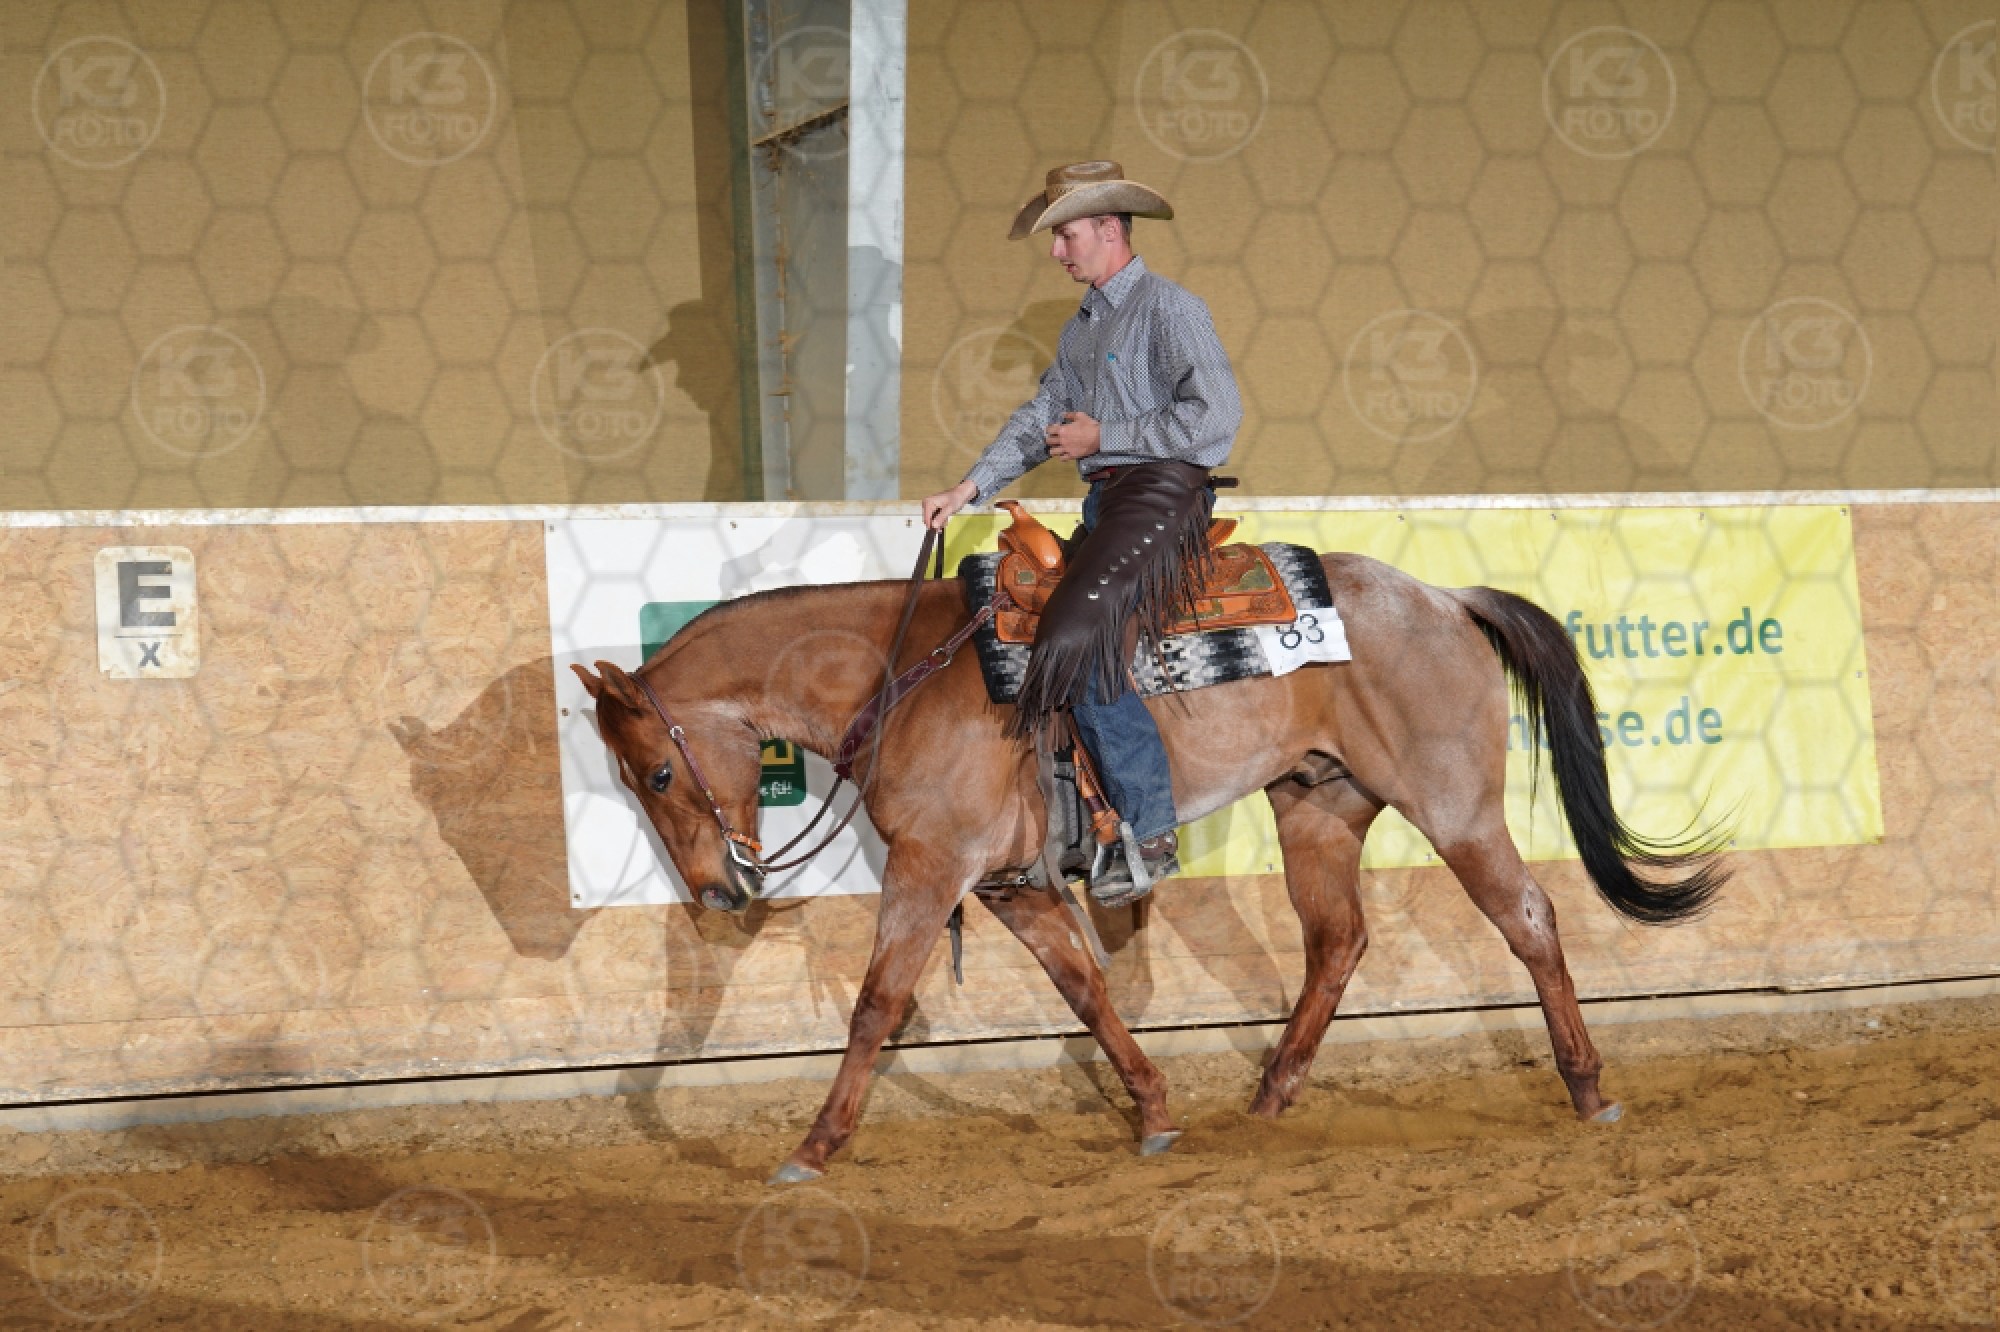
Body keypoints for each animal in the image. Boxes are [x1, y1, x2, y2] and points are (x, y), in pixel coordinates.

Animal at [571, 549, 1726, 1183]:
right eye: (627, 781)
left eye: (657, 772)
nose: (719, 891)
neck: (899, 677)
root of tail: (1442, 596)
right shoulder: (1013, 887)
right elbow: (1085, 990)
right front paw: (1157, 1112)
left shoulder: (931, 870)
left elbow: (876, 1004)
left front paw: (813, 1147)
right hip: (1317, 806)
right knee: (1337, 941)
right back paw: (1266, 1100)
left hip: (1455, 808)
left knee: (1527, 917)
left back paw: (1588, 1091)